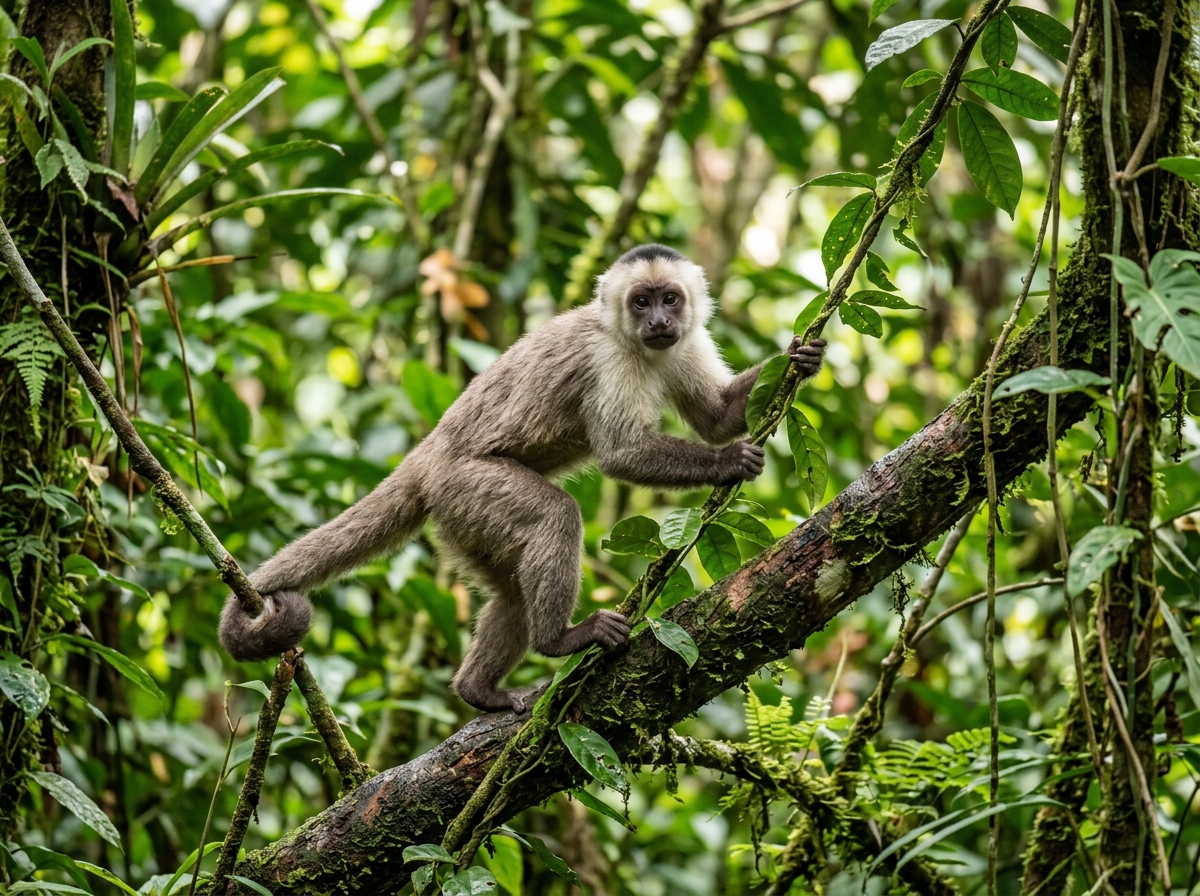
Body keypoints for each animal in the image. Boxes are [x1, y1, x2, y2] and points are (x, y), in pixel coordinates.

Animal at [219, 244, 826, 714]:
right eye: (641, 301)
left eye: (670, 298)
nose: (658, 322)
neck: (634, 342)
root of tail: (428, 452)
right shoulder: (607, 358)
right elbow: (622, 454)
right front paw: (727, 464)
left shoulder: (686, 341)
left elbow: (715, 417)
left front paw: (801, 354)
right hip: (467, 485)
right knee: (555, 516)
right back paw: (559, 641)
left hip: (460, 520)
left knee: (511, 590)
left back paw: (478, 689)